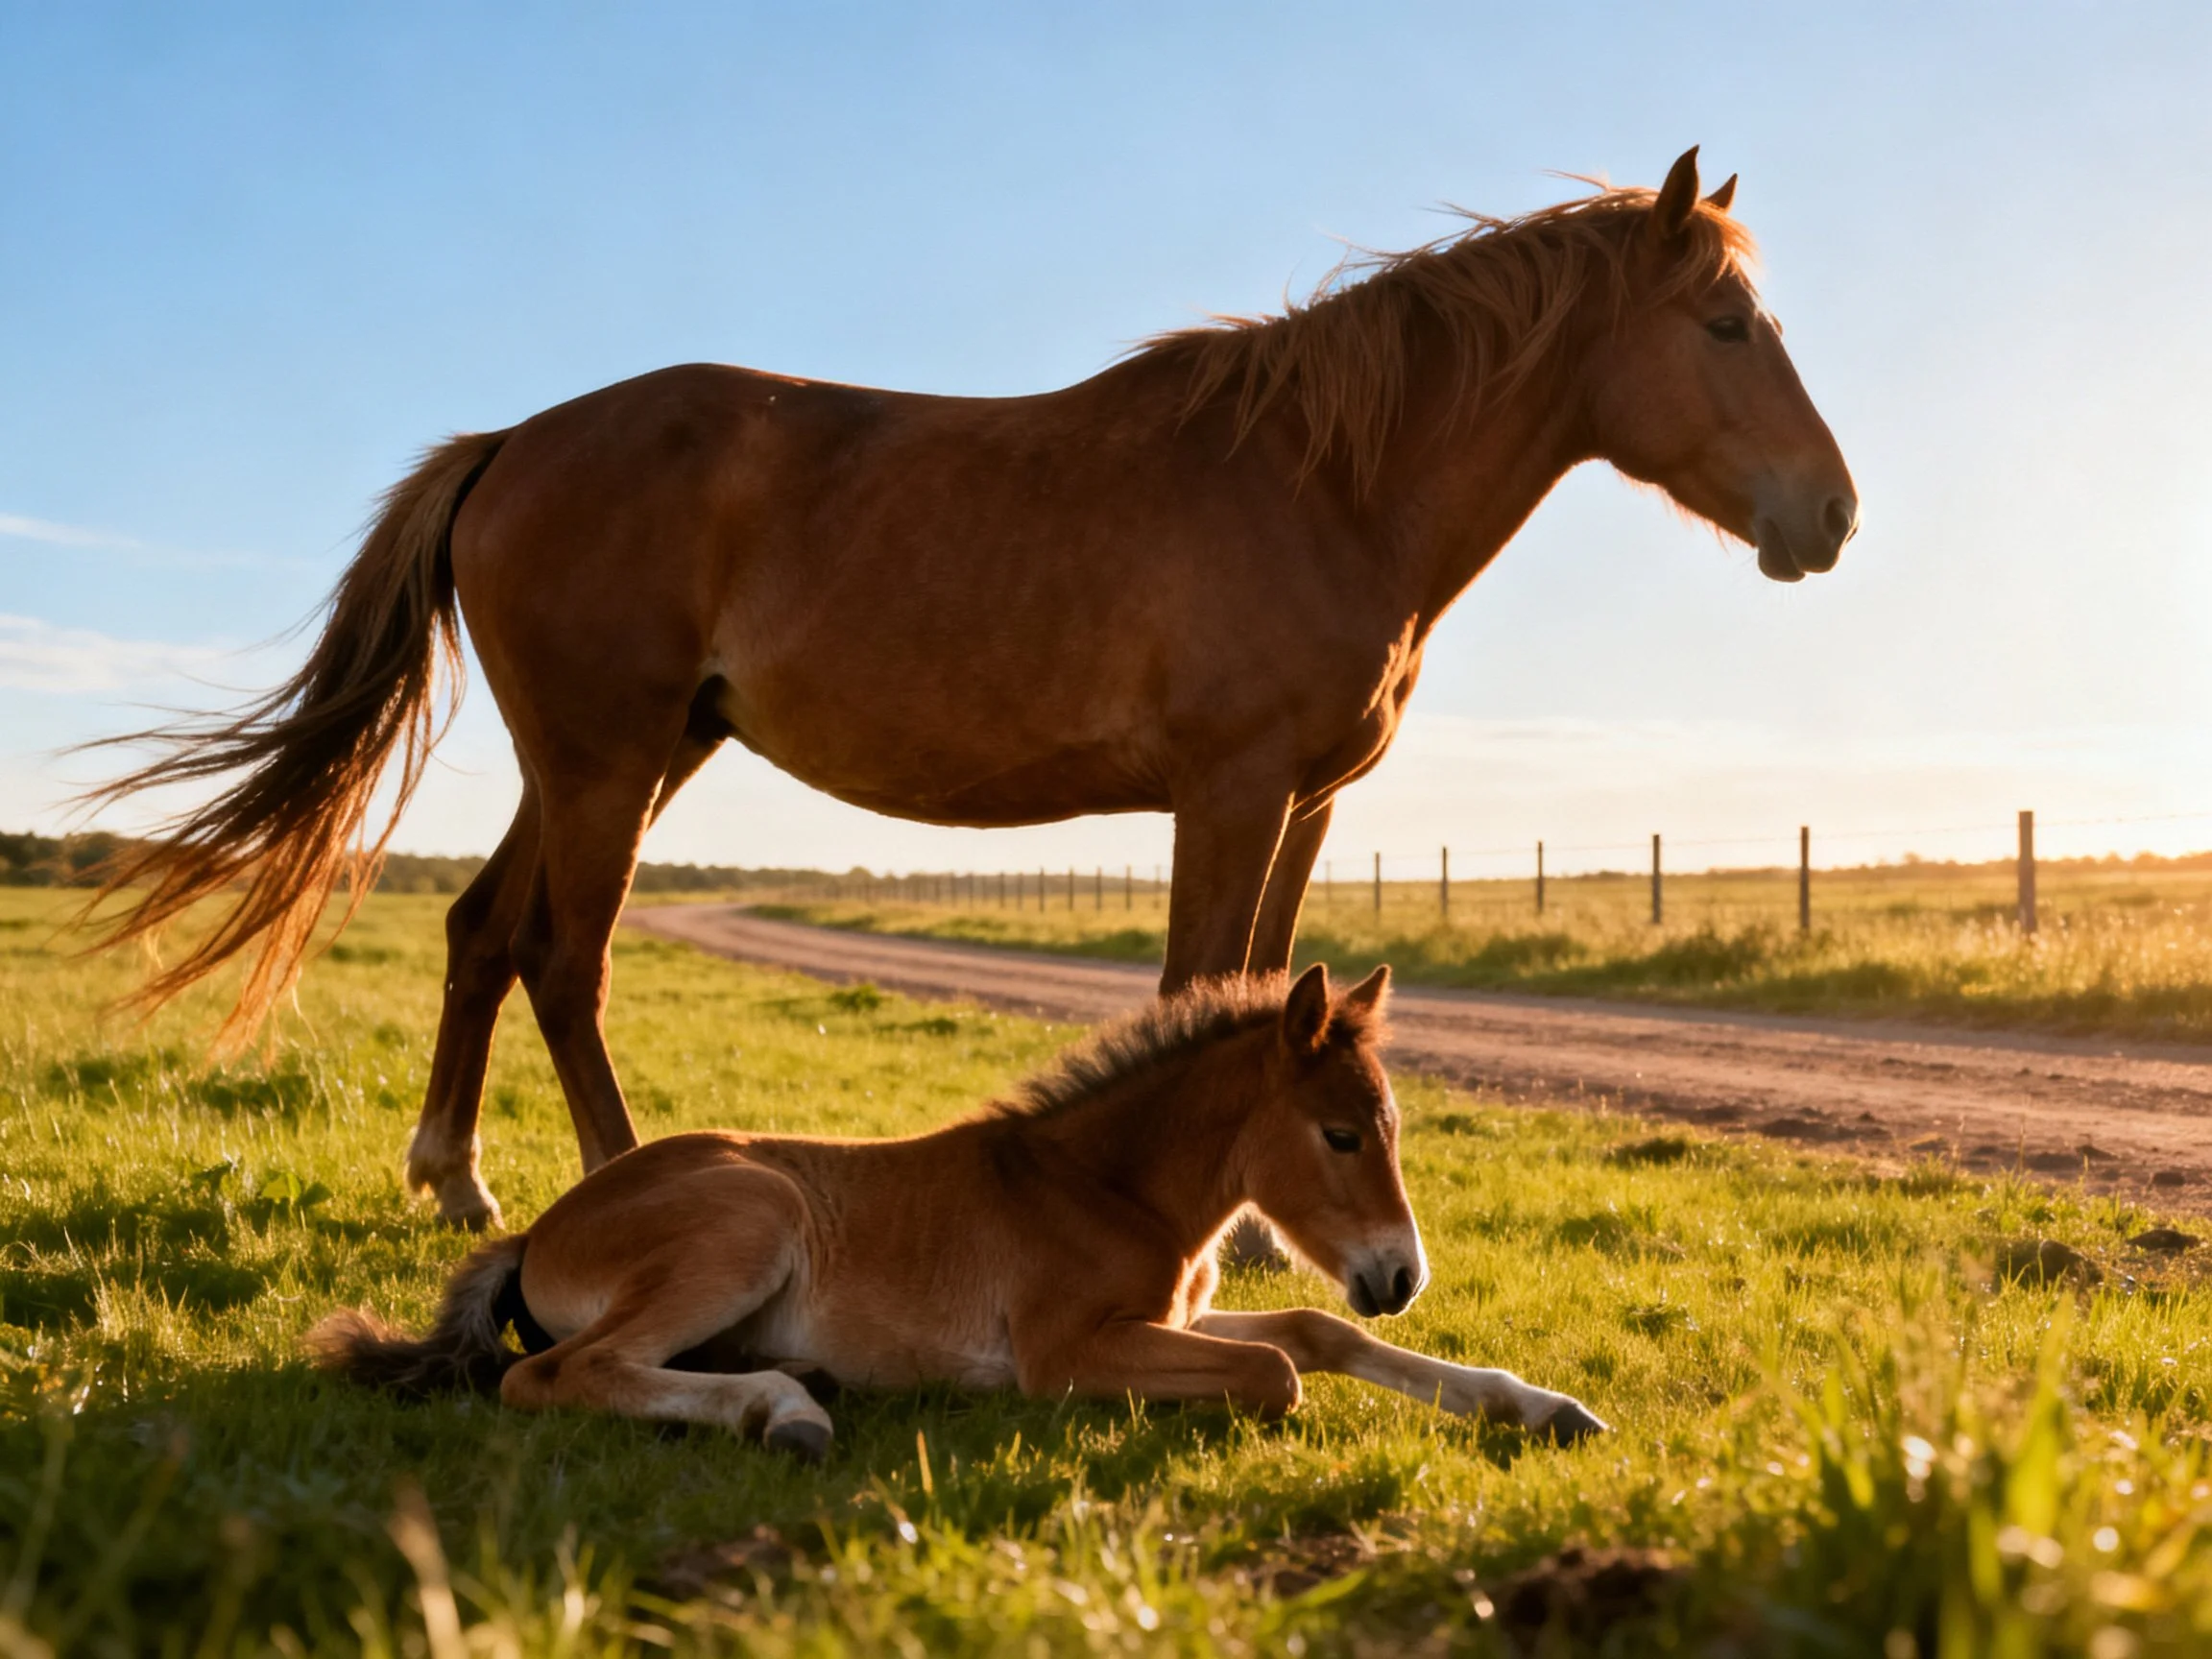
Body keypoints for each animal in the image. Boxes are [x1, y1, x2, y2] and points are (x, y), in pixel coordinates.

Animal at [90, 147, 1855, 1229]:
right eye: (1721, 321)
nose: (1829, 514)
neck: (1317, 481)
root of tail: (514, 439)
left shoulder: (1300, 804)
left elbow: (1258, 988)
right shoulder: (1226, 794)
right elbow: (1192, 991)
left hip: (628, 757)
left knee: (481, 936)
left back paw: (454, 1182)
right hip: (606, 763)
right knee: (561, 957)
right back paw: (613, 1179)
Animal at [309, 963, 1608, 1453]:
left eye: (1392, 1127)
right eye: (1340, 1134)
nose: (1403, 1275)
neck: (1106, 1185)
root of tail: (536, 1230)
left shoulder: (1172, 1317)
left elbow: (1315, 1333)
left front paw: (1541, 1406)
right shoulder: (1065, 1354)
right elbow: (1280, 1371)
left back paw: (795, 1385)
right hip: (752, 1215)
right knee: (554, 1375)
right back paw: (788, 1411)